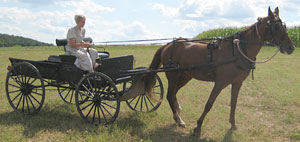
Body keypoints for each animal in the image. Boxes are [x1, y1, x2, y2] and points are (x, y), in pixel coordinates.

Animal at [144, 6, 294, 138]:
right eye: (276, 27)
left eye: (284, 26)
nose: (291, 47)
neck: (237, 50)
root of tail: (168, 45)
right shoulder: (220, 83)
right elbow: (209, 104)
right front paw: (198, 127)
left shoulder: (237, 83)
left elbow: (233, 104)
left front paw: (233, 125)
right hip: (173, 75)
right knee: (170, 95)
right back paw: (179, 120)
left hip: (185, 76)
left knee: (173, 94)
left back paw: (178, 116)